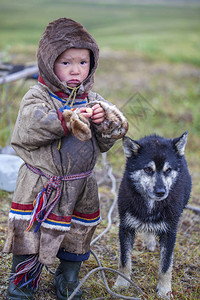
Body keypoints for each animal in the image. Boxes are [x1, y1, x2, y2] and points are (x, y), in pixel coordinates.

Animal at [114, 132, 191, 298]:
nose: (161, 192)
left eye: (168, 170)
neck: (151, 204)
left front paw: (164, 291)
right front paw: (122, 284)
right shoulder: (126, 227)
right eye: (148, 169)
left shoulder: (170, 232)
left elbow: (165, 267)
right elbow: (124, 261)